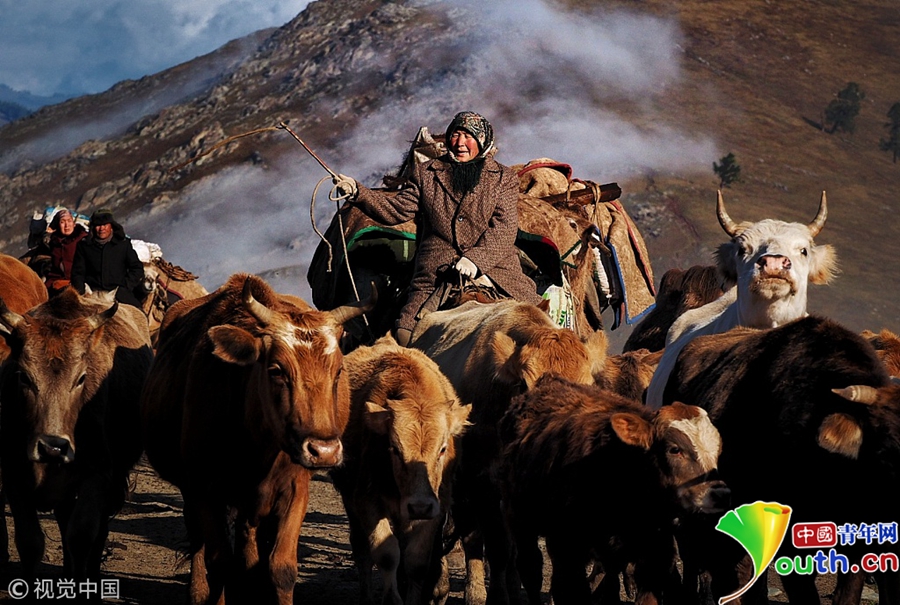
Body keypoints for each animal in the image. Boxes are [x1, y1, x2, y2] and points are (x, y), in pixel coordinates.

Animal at [0, 288, 152, 584]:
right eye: (24, 377)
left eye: (81, 378)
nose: (53, 448)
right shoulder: (14, 476)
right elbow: (30, 543)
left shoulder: (97, 476)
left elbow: (81, 538)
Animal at [140, 273, 373, 605]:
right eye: (276, 370)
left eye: (338, 370)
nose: (324, 451)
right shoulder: (203, 489)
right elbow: (219, 563)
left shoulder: (295, 489)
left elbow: (282, 567)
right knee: (198, 539)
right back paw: (198, 591)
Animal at [332, 334, 471, 605]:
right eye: (394, 449)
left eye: (443, 448)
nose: (419, 506)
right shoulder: (368, 501)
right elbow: (386, 554)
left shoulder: (436, 507)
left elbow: (416, 561)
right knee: (361, 549)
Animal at [497, 376, 728, 605]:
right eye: (675, 449)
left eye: (718, 450)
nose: (721, 494)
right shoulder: (567, 552)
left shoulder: (654, 554)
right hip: (519, 522)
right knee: (531, 569)